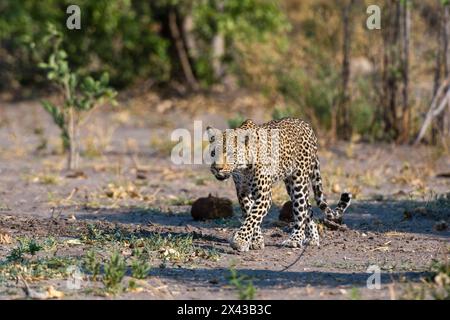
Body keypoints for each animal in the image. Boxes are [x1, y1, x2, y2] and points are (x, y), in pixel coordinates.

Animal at [207, 117, 352, 252]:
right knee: (308, 207)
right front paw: (255, 241)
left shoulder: (264, 195)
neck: (242, 169)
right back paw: (313, 238)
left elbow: (253, 217)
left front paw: (240, 241)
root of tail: (307, 125)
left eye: (230, 153)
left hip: (299, 181)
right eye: (213, 153)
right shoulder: (243, 193)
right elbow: (250, 214)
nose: (217, 168)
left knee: (301, 210)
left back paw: (295, 239)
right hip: (290, 184)